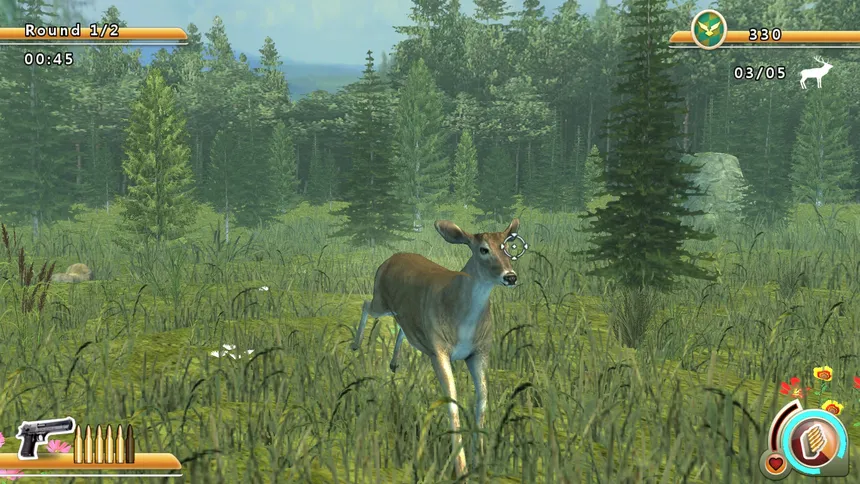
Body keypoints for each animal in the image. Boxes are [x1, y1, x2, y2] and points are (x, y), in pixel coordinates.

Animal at [350, 218, 520, 478]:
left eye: (508, 247)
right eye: (483, 249)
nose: (510, 277)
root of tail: (390, 258)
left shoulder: (480, 351)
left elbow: (482, 398)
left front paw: (479, 461)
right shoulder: (439, 350)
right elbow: (452, 399)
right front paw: (460, 467)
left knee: (402, 326)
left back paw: (394, 363)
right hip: (380, 298)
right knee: (366, 304)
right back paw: (355, 344)